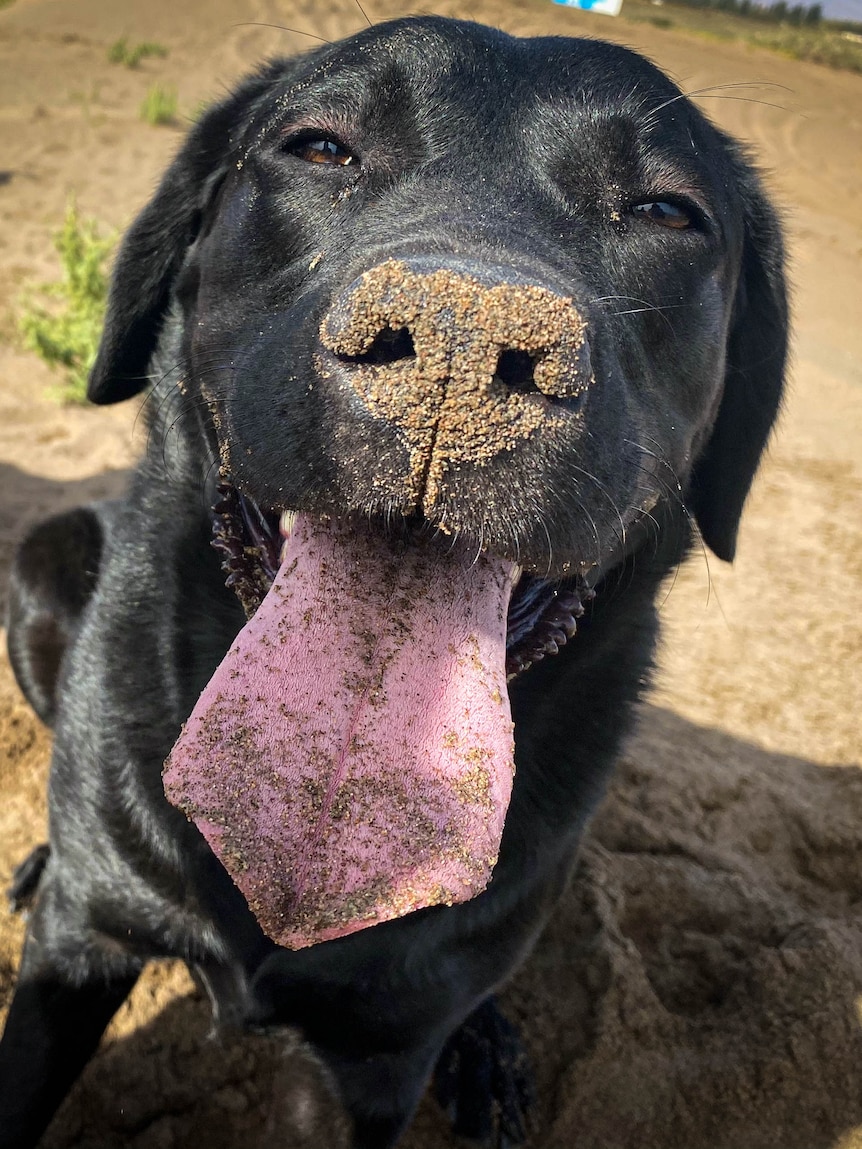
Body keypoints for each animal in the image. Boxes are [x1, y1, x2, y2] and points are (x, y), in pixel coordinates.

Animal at [0, 17, 786, 1149]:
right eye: (321, 148)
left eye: (665, 210)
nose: (459, 344)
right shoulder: (78, 947)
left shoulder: (367, 1060)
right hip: (44, 558)